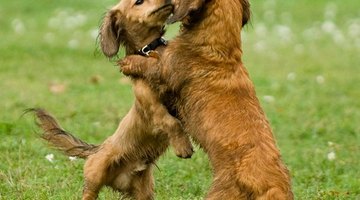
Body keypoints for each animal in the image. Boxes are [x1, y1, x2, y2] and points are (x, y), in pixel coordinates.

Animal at [31, 0, 194, 199]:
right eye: (138, 2)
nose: (168, 1)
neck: (150, 51)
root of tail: (97, 149)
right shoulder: (153, 106)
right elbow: (172, 122)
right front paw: (183, 147)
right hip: (96, 174)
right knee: (89, 192)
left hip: (144, 190)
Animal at [116, 0, 294, 198]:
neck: (217, 50)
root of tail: (274, 186)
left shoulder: (165, 68)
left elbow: (150, 65)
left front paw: (128, 62)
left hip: (221, 192)